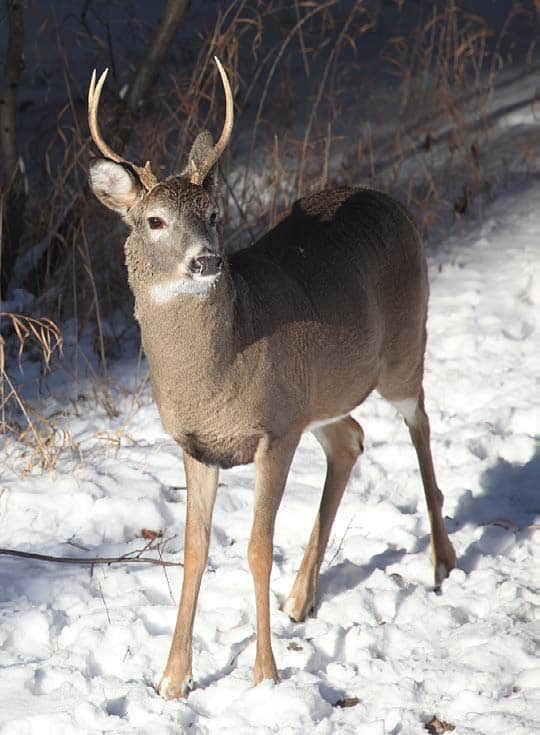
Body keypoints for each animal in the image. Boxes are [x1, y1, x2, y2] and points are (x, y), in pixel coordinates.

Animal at [87, 59, 456, 700]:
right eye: (154, 220)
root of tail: (393, 202)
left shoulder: (275, 430)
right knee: (351, 438)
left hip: (405, 348)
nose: (206, 260)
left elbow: (258, 549)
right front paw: (172, 681)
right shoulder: (197, 445)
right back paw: (300, 598)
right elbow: (194, 550)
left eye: (213, 215)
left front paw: (264, 676)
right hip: (321, 394)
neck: (215, 376)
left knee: (421, 423)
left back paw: (441, 562)